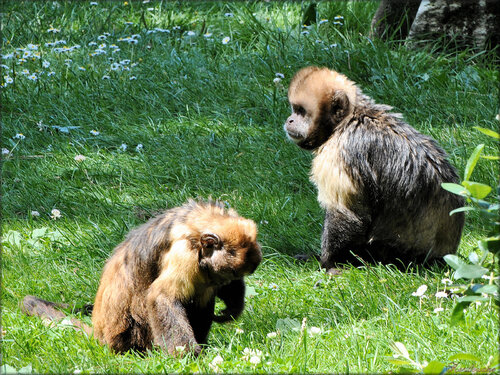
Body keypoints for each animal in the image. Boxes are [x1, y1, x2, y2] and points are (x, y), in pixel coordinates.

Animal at [286, 66, 464, 274]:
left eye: (300, 111)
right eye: (294, 109)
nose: (289, 120)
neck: (349, 120)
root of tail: (440, 258)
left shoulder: (341, 151)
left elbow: (348, 215)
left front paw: (329, 263)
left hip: (392, 255)